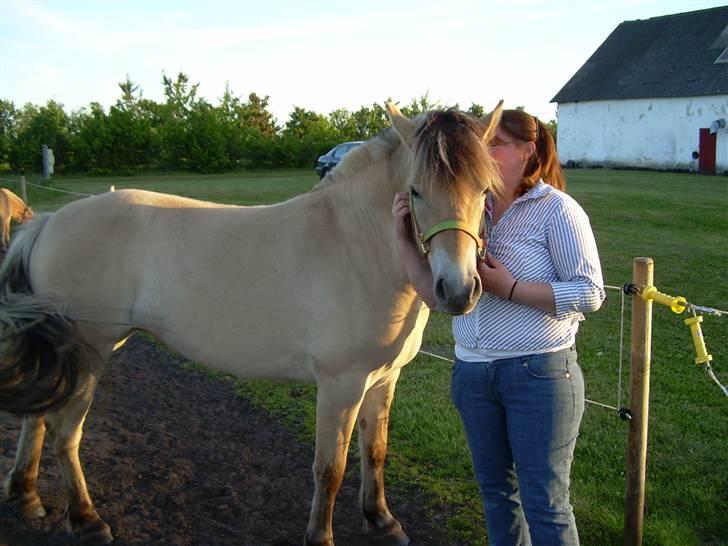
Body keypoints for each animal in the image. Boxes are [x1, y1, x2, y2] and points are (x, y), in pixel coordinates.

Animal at [0, 101, 504, 540]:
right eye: (415, 190)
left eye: (483, 191)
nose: (457, 290)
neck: (354, 244)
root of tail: (47, 223)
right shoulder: (340, 385)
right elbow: (330, 469)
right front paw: (321, 536)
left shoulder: (384, 379)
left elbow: (375, 452)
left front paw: (381, 520)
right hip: (89, 353)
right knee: (65, 431)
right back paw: (86, 520)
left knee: (39, 419)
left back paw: (26, 496)